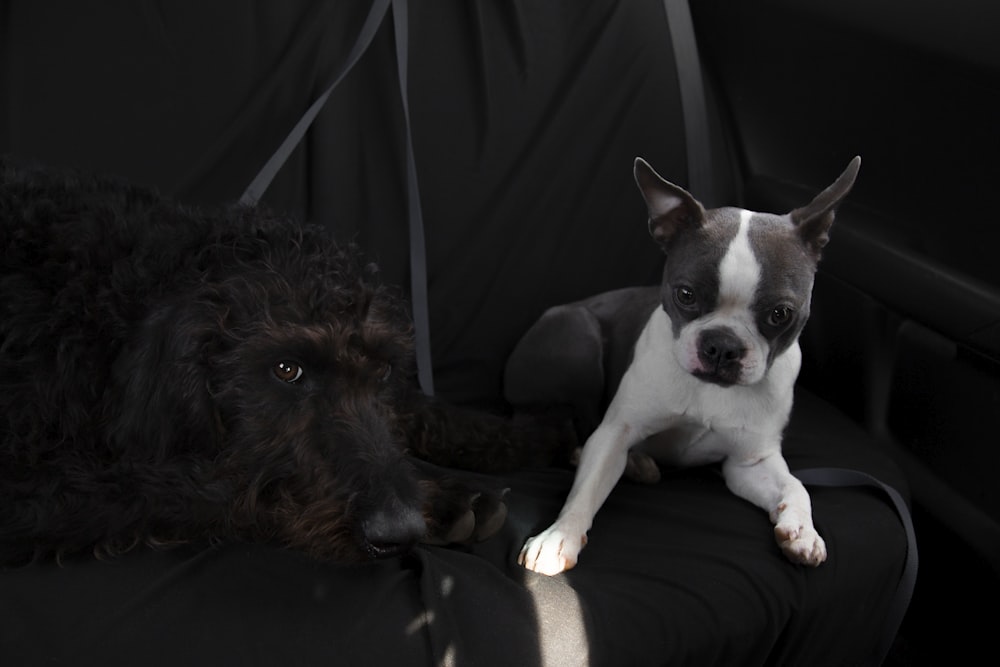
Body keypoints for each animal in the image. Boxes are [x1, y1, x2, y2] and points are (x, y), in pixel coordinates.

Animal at [0, 160, 564, 564]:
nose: (398, 530)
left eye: (383, 370)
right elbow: (221, 488)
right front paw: (444, 499)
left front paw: (535, 433)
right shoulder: (39, 489)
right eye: (286, 370)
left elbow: (421, 408)